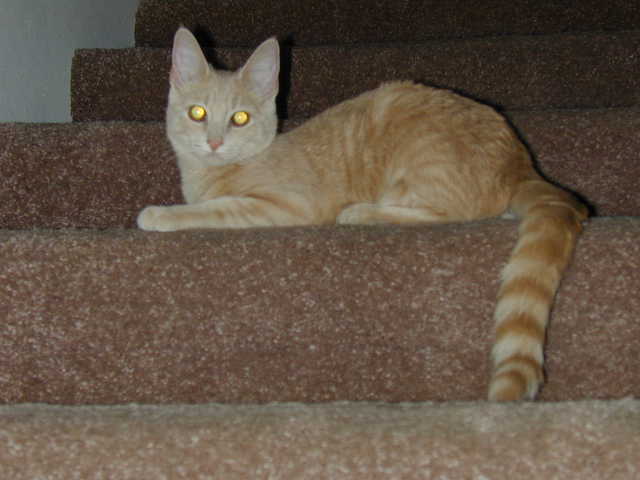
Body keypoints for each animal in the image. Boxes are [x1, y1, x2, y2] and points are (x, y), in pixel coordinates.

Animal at [137, 27, 588, 401]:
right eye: (197, 113)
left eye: (240, 118)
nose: (214, 142)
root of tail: (520, 161)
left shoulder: (283, 205)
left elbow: (213, 209)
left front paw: (160, 214)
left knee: (449, 214)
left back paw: (361, 212)